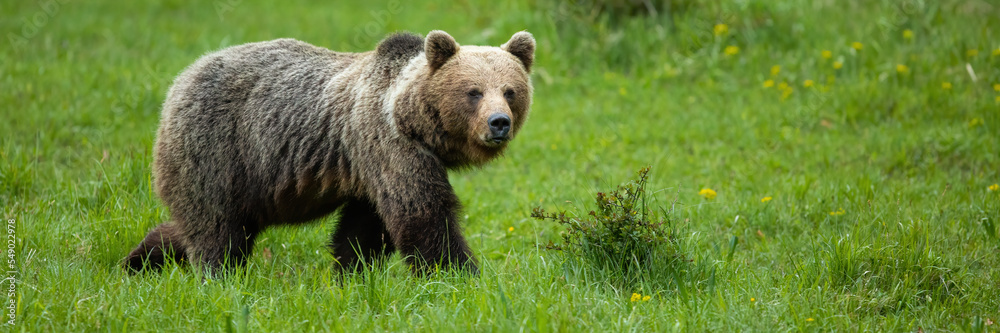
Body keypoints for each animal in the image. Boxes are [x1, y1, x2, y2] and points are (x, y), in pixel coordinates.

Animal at [125, 29, 536, 274]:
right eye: (473, 91)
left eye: (510, 90)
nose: (499, 122)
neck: (414, 121)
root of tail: (182, 78)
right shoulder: (389, 146)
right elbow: (423, 215)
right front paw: (461, 275)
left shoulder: (370, 167)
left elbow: (364, 228)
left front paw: (352, 271)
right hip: (218, 148)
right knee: (216, 226)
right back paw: (217, 274)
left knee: (196, 224)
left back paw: (139, 260)